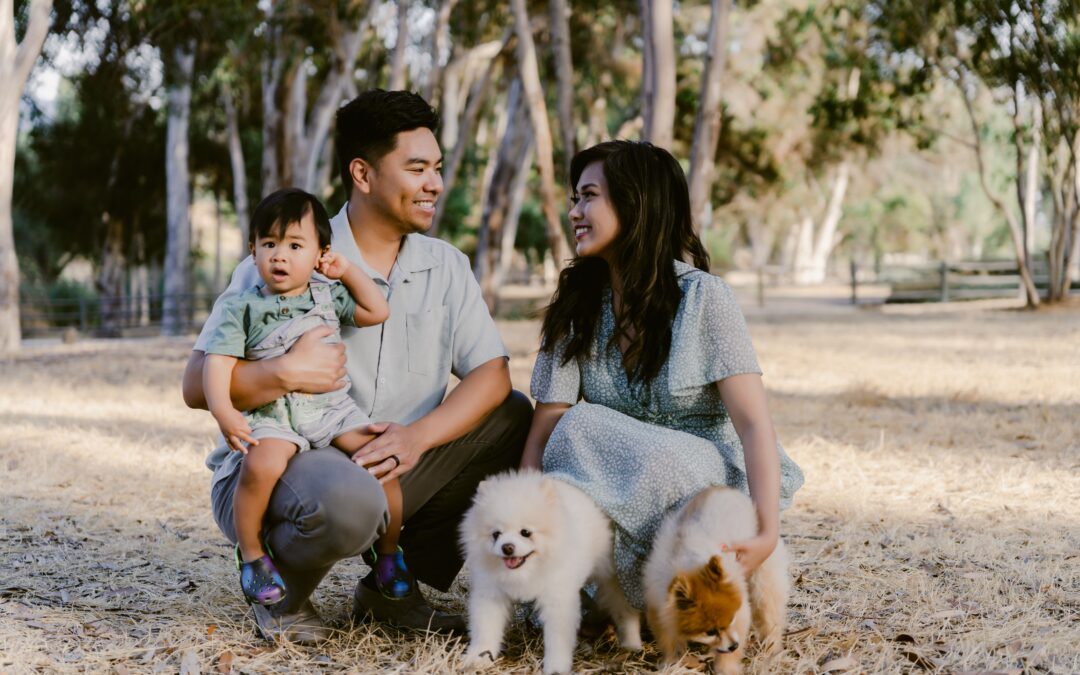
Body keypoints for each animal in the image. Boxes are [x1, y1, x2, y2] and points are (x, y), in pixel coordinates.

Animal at [457, 468, 639, 673]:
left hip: (611, 576)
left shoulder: (557, 599)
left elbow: (557, 640)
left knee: (624, 607)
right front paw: (477, 658)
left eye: (526, 532)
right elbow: (485, 629)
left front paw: (556, 667)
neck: (526, 572)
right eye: (496, 534)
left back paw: (632, 643)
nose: (507, 547)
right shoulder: (491, 594)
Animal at [643, 486, 790, 669]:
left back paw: (772, 651)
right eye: (710, 632)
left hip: (764, 582)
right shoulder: (659, 609)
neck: (685, 565)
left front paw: (727, 669)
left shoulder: (740, 612)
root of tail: (730, 491)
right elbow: (669, 642)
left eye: (731, 618)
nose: (734, 645)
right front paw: (672, 663)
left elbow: (729, 656)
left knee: (771, 618)